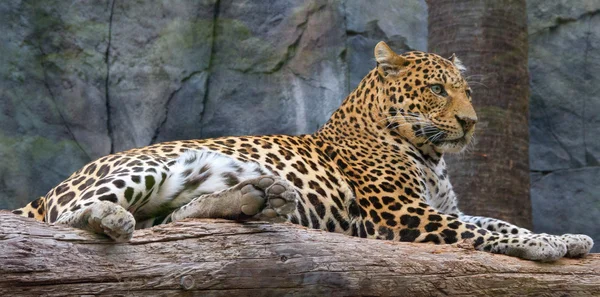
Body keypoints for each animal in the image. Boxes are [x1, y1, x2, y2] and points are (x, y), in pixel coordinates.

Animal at [11, 41, 592, 260]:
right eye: (436, 89)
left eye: (466, 90)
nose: (471, 122)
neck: (430, 156)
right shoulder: (403, 216)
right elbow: (489, 231)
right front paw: (546, 243)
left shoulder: (439, 208)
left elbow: (495, 221)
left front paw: (568, 237)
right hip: (142, 166)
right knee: (67, 220)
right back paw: (110, 218)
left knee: (171, 221)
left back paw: (254, 198)